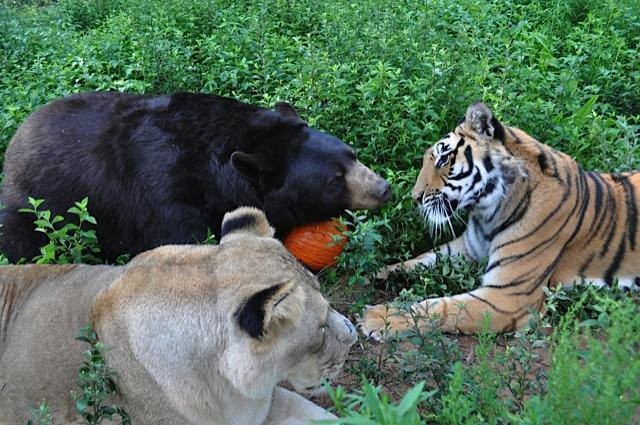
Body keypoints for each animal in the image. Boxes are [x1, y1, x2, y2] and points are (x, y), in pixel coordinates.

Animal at [360, 102, 640, 338]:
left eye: (444, 159)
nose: (415, 197)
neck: (487, 212)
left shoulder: (508, 297)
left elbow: (441, 308)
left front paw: (378, 318)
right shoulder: (467, 248)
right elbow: (417, 261)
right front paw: (372, 272)